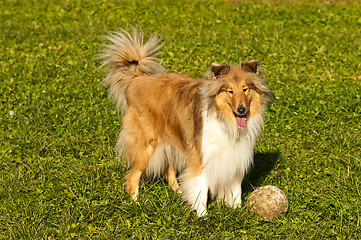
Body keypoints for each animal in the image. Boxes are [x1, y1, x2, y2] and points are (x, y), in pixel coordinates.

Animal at [100, 29, 272, 217]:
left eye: (245, 89)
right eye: (230, 91)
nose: (241, 110)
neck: (224, 119)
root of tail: (137, 78)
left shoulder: (234, 156)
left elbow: (236, 190)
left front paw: (236, 212)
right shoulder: (201, 156)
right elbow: (201, 188)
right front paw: (202, 216)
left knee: (168, 170)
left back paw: (179, 193)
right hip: (146, 144)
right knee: (132, 176)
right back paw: (136, 203)